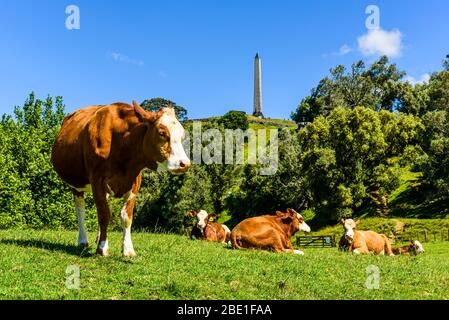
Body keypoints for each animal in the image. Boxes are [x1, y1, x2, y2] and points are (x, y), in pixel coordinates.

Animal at [51, 101, 190, 256]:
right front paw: (103, 248)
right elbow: (104, 214)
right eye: (162, 133)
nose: (185, 164)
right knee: (80, 209)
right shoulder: (96, 178)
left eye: (182, 135)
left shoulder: (135, 181)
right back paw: (83, 241)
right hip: (76, 184)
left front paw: (128, 250)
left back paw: (98, 238)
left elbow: (126, 217)